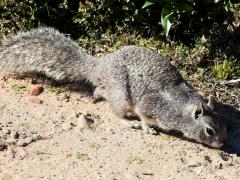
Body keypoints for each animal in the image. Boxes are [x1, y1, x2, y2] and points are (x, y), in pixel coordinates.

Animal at [0, 26, 227, 148]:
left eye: (225, 126)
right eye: (209, 131)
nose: (222, 144)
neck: (183, 108)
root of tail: (99, 66)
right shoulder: (152, 106)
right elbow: (144, 116)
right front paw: (146, 127)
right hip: (121, 95)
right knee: (117, 113)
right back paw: (128, 122)